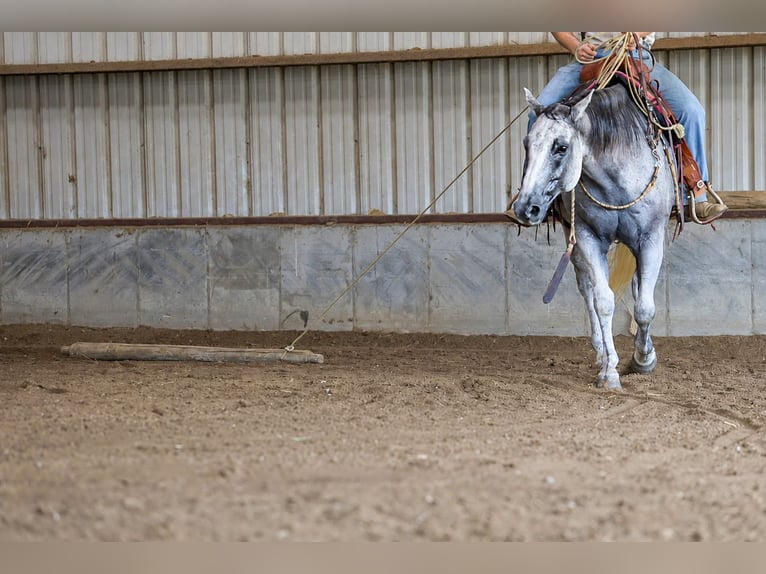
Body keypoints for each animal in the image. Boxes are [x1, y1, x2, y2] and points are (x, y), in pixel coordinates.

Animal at [507, 83, 677, 390]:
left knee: (638, 290)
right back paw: (601, 353)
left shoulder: (651, 238)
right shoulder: (588, 237)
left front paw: (644, 359)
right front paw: (610, 371)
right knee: (587, 289)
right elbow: (603, 301)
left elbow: (644, 307)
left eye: (561, 147)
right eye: (527, 144)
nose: (526, 208)